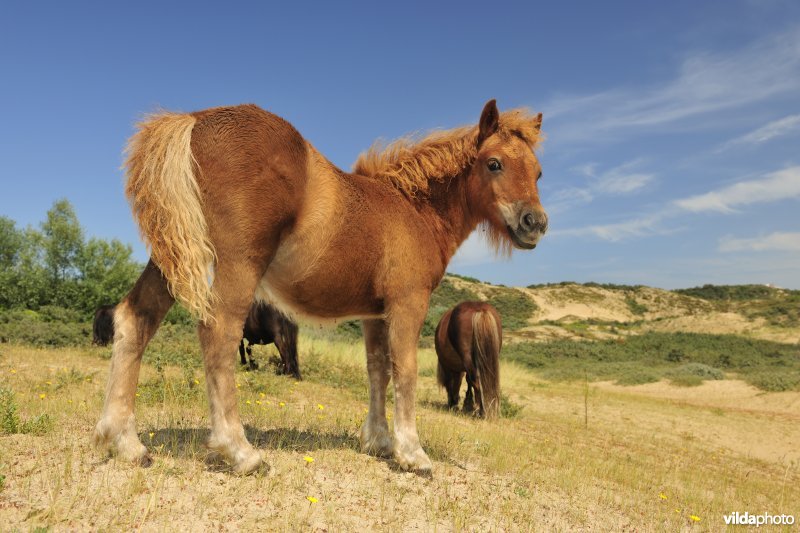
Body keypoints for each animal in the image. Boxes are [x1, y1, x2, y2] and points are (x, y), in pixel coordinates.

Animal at [94, 99, 547, 474]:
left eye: (539, 172)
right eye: (494, 164)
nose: (535, 223)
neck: (414, 210)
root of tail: (196, 119)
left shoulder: (373, 314)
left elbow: (377, 370)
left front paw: (378, 442)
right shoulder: (407, 303)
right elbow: (405, 371)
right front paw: (412, 454)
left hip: (172, 255)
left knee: (135, 319)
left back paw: (125, 443)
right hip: (238, 262)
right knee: (218, 333)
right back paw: (239, 452)